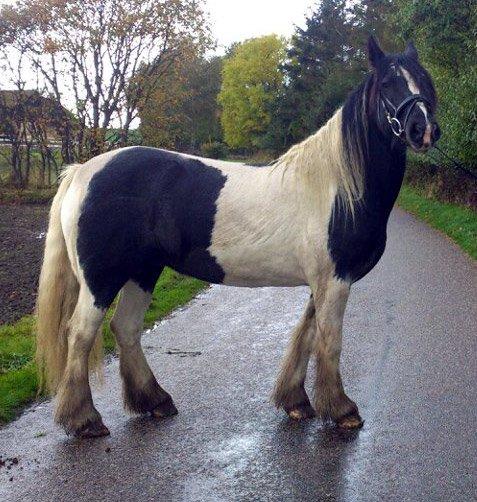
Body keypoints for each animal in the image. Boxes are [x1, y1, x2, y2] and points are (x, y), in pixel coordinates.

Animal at [35, 37, 440, 438]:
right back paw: (85, 419)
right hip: (101, 279)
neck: (337, 187)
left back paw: (155, 401)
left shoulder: (321, 281)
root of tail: (81, 171)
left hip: (143, 272)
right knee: (81, 334)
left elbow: (307, 335)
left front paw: (296, 401)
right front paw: (341, 410)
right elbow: (330, 341)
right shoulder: (335, 279)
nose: (423, 130)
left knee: (126, 328)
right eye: (387, 83)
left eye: (425, 79)